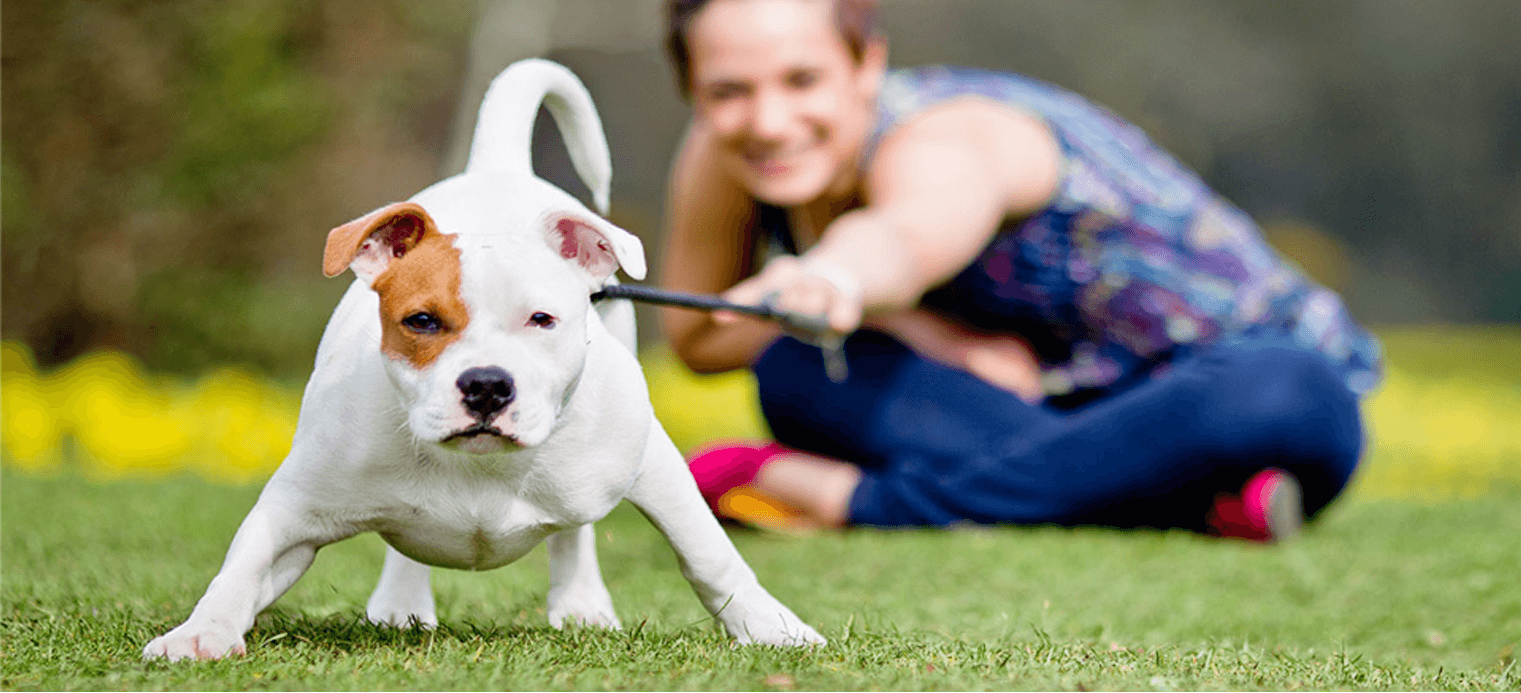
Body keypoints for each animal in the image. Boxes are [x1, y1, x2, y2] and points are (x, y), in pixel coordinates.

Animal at [145, 59, 821, 659]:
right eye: (421, 321)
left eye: (542, 319)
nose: (488, 386)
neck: (480, 466)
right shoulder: (298, 502)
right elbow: (243, 565)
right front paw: (200, 632)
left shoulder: (652, 461)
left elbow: (708, 553)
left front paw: (772, 627)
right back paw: (402, 604)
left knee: (576, 534)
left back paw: (580, 603)